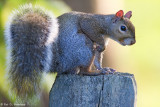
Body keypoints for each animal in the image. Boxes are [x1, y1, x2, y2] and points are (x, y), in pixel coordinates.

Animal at [4, 3, 135, 98]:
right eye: (123, 28)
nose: (133, 42)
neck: (106, 24)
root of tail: (58, 64)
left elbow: (98, 59)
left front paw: (103, 67)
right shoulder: (91, 24)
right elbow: (89, 30)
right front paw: (102, 62)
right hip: (84, 46)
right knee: (83, 71)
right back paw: (94, 72)